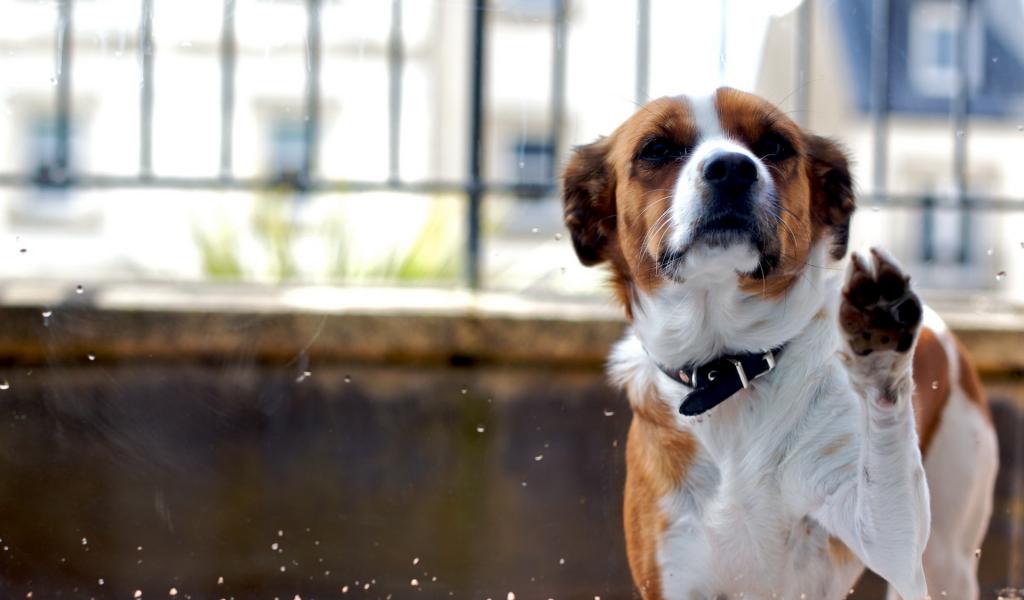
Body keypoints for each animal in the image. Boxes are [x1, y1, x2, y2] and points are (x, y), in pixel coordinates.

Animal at [561, 88, 998, 599]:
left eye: (774, 145)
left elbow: (886, 472)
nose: (732, 167)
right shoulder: (673, 572)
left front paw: (881, 350)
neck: (730, 369)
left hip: (948, 555)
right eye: (656, 149)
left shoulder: (887, 540)